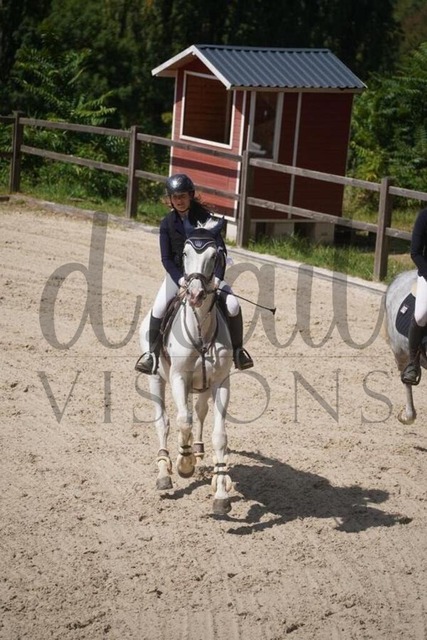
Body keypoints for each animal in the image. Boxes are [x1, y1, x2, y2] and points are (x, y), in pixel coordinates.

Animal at [139, 228, 234, 515]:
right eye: (184, 253)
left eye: (215, 256)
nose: (195, 295)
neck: (200, 328)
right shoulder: (179, 378)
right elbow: (183, 422)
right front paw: (185, 465)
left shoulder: (220, 382)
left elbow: (219, 435)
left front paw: (221, 493)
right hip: (156, 379)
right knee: (164, 422)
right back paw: (164, 473)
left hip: (202, 385)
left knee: (200, 413)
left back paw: (200, 451)